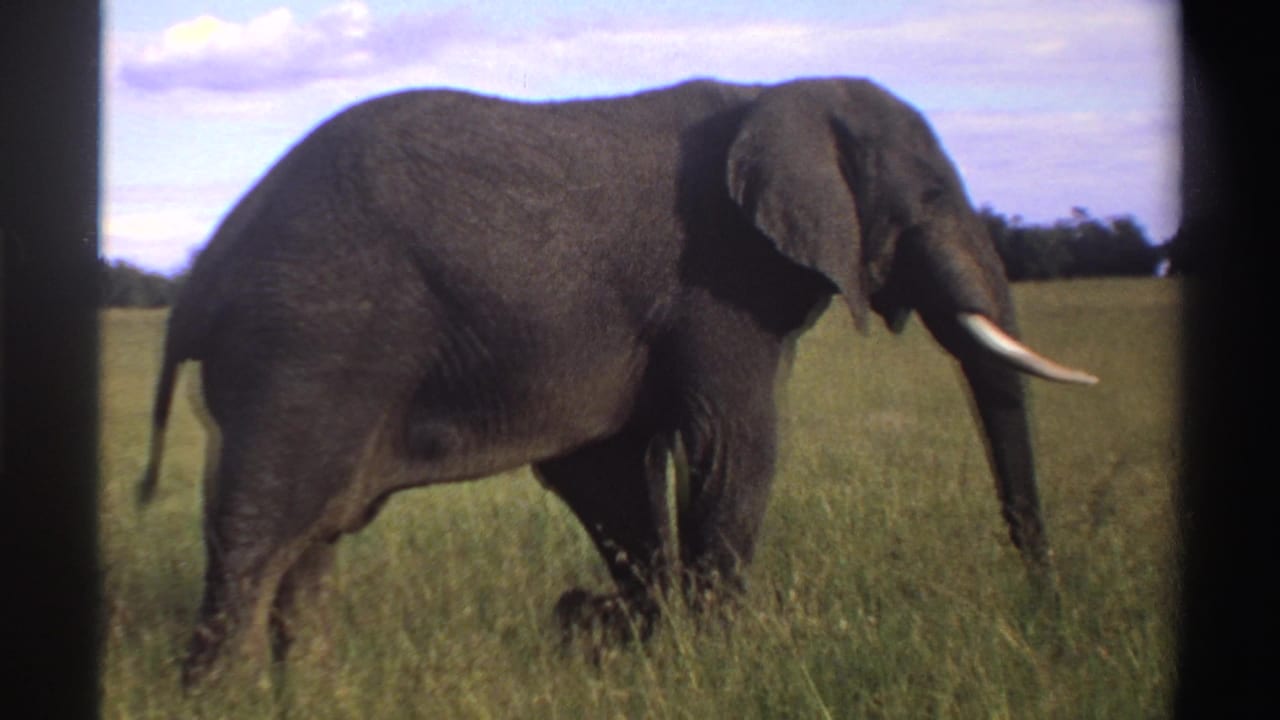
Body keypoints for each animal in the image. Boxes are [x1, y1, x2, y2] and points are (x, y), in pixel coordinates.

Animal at [138, 77, 1097, 686]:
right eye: (931, 195)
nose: (1045, 604)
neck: (780, 91)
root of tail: (204, 273)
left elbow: (613, 471)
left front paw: (634, 639)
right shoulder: (719, 280)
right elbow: (732, 447)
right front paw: (719, 659)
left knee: (313, 538)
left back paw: (315, 691)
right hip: (306, 342)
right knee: (263, 530)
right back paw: (224, 700)